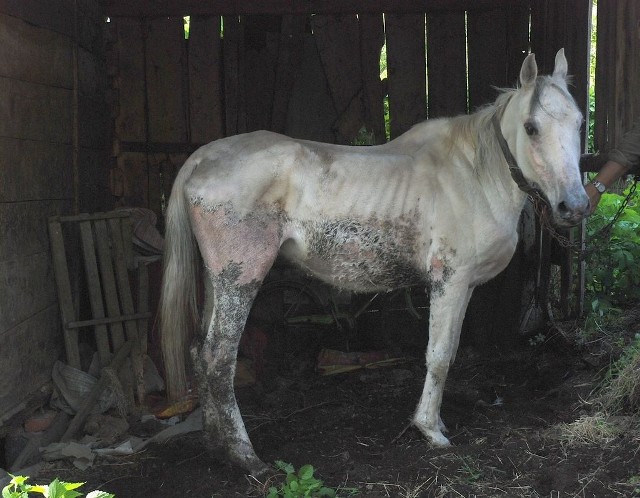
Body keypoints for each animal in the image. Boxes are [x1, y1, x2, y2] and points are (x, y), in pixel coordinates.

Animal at [160, 49, 592, 474]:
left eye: (579, 122)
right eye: (531, 127)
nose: (575, 206)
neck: (473, 175)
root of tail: (202, 158)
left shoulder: (464, 286)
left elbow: (449, 351)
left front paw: (437, 422)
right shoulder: (450, 282)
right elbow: (439, 356)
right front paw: (429, 429)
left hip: (219, 279)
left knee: (199, 352)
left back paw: (216, 445)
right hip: (241, 279)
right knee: (218, 358)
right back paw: (244, 454)